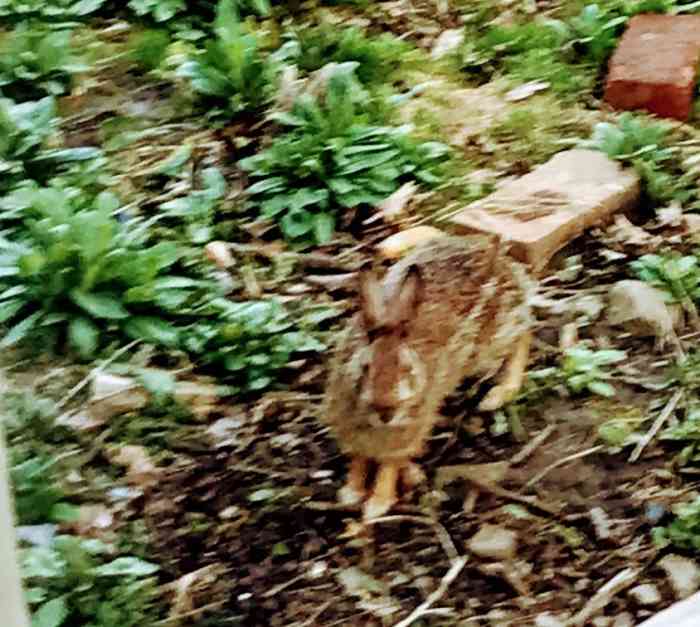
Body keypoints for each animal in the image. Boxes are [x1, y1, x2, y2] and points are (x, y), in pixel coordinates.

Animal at [321, 234, 535, 520]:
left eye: (407, 370)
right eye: (364, 368)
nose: (386, 410)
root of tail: (502, 262)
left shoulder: (408, 433)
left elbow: (388, 467)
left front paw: (377, 506)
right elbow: (358, 460)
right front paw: (350, 493)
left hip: (492, 338)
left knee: (524, 334)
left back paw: (500, 392)